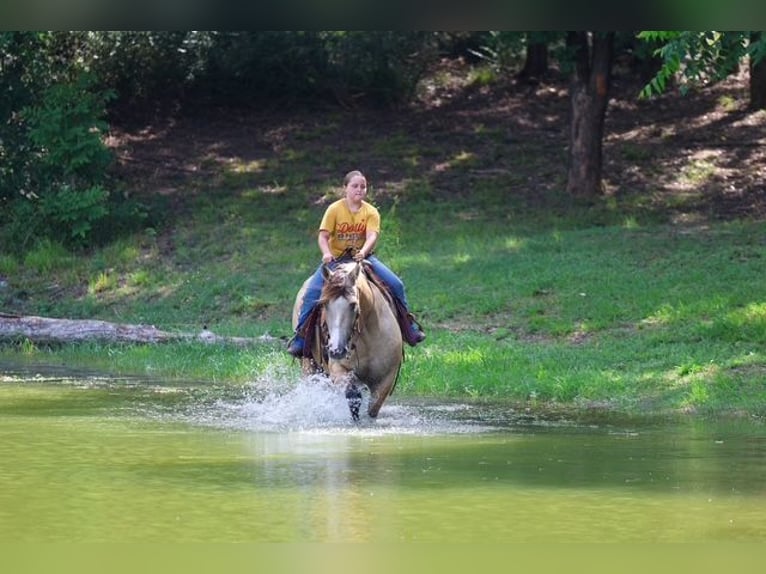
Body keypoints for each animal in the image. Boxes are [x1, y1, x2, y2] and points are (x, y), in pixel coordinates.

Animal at [291, 261, 404, 420]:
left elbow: (372, 409)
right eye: (324, 304)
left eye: (353, 304)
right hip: (308, 365)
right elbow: (352, 396)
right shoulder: (338, 368)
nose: (336, 350)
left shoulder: (386, 379)